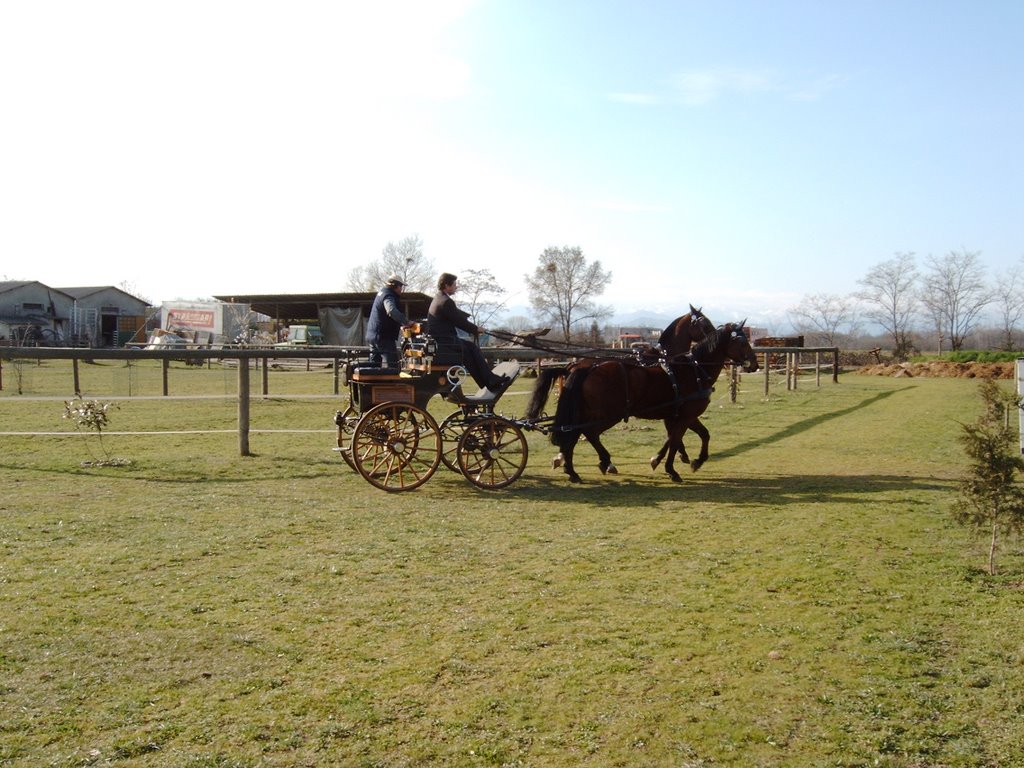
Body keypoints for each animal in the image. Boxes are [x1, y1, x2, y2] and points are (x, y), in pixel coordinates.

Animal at [528, 323, 761, 481]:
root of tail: (582, 367)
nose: (754, 363)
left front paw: (673, 461)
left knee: (575, 434)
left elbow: (688, 437)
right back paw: (598, 462)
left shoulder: (679, 415)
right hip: (607, 413)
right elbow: (679, 439)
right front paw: (673, 469)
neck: (694, 370)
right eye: (741, 341)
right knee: (588, 433)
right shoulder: (686, 415)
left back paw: (573, 469)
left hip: (586, 412)